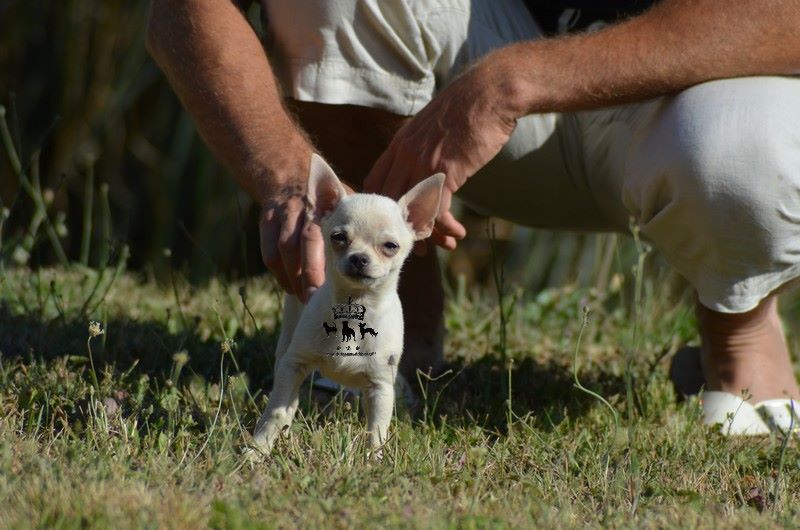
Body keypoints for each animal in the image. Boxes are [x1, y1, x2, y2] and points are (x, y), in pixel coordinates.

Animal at [252, 152, 444, 450]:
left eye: (391, 246)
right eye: (338, 238)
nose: (359, 258)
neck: (354, 306)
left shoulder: (380, 386)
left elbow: (377, 430)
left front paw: (374, 457)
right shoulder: (294, 364)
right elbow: (276, 410)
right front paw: (258, 449)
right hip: (288, 340)